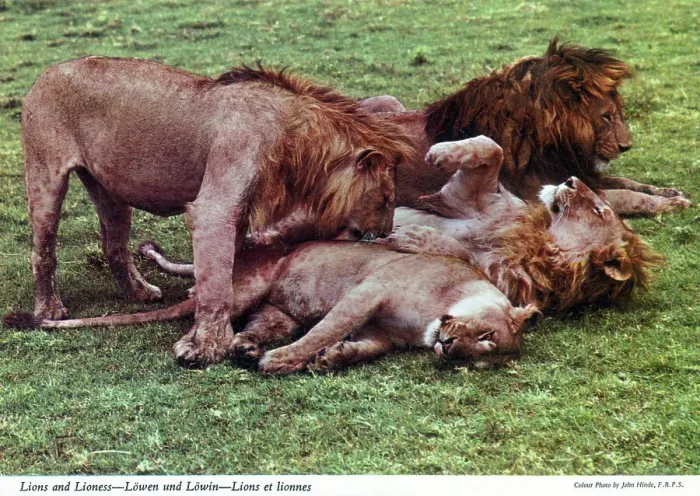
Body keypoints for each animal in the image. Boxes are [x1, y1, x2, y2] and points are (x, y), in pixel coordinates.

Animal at [21, 59, 412, 367]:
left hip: (110, 190)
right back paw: (49, 309)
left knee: (114, 245)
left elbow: (226, 274)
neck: (297, 142)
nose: (385, 233)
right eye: (386, 198)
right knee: (43, 250)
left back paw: (140, 292)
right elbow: (217, 284)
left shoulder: (237, 212)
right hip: (44, 174)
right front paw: (209, 348)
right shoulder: (215, 206)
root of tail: (47, 72)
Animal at [378, 137, 663, 310]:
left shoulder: (501, 282)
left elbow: (459, 252)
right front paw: (442, 153)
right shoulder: (468, 198)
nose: (570, 179)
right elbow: (492, 147)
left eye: (598, 210)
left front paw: (414, 237)